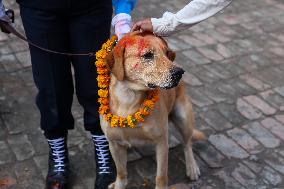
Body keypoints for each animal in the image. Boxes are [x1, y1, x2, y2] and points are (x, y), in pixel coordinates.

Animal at [100, 32, 204, 189]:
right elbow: (121, 172)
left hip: (183, 118)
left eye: (167, 53)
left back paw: (192, 167)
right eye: (148, 55)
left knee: (188, 143)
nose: (180, 72)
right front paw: (118, 185)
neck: (128, 99)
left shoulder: (161, 142)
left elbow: (161, 176)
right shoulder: (114, 144)